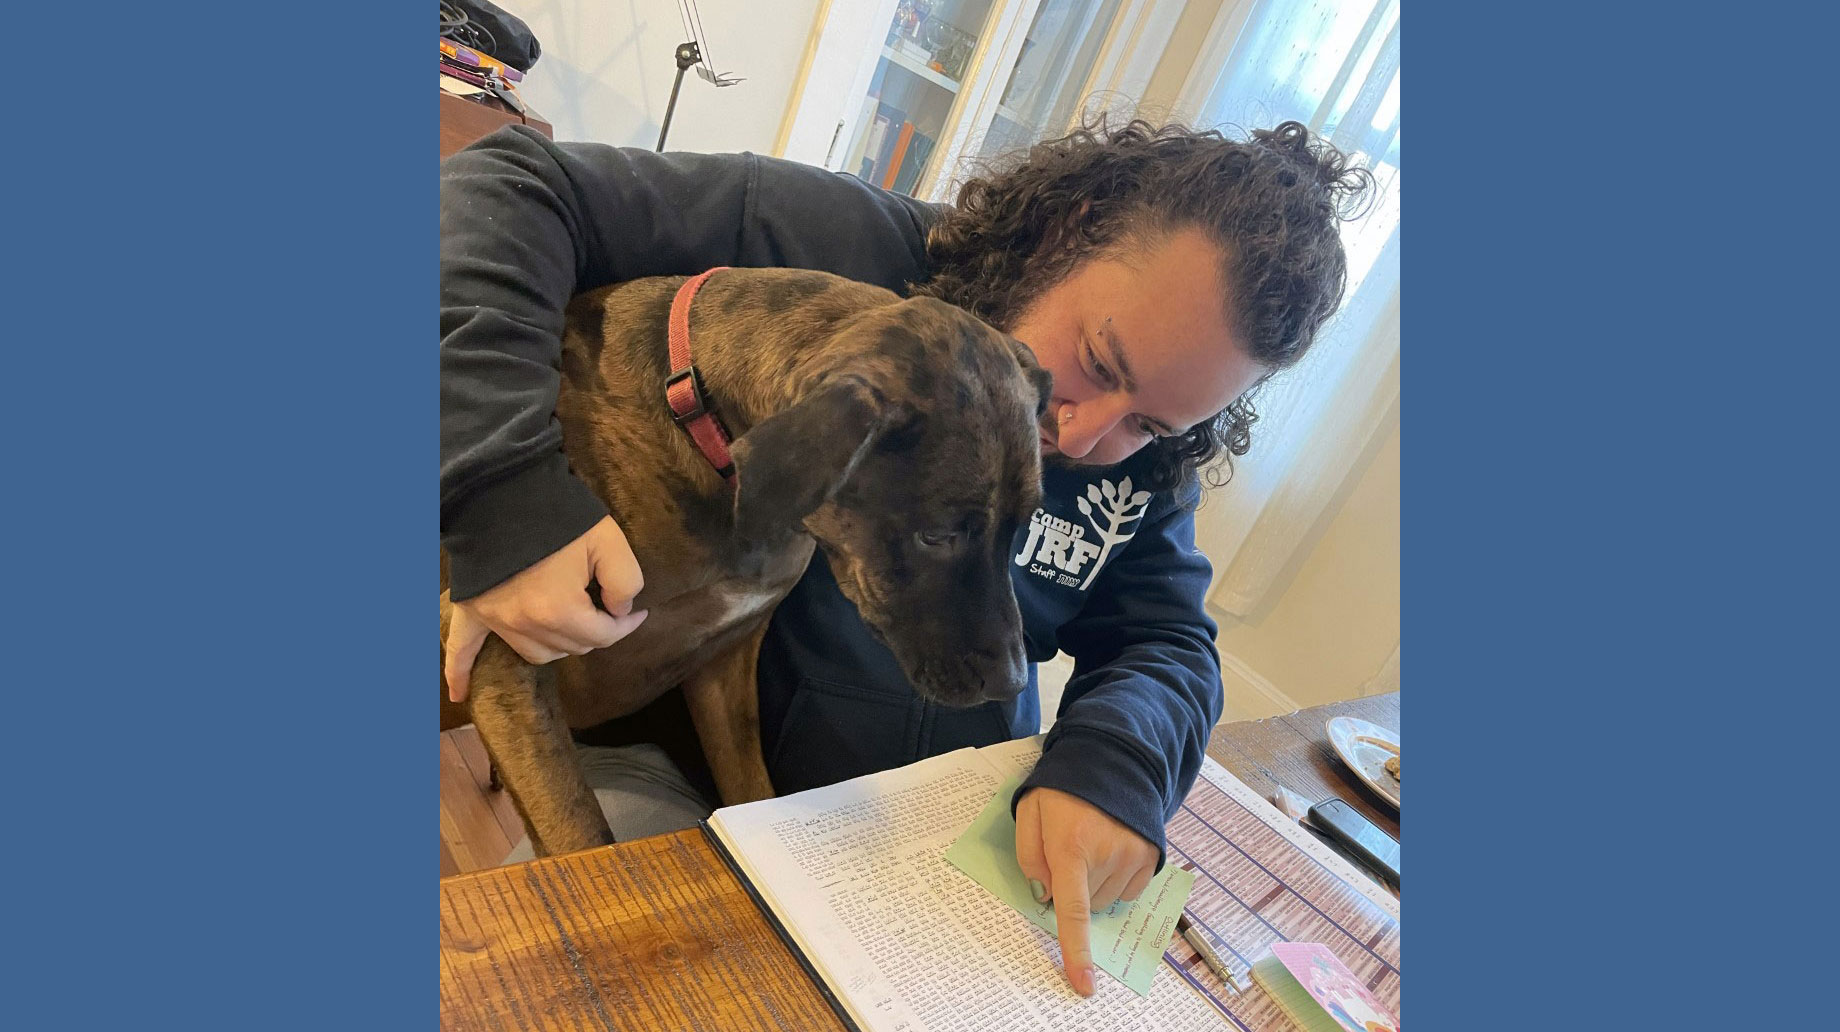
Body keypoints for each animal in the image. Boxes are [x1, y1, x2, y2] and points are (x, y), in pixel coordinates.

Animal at [439, 264, 1059, 853]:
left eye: (1021, 528)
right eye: (937, 536)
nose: (1011, 682)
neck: (701, 427)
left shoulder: (724, 668)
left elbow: (749, 790)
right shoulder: (508, 663)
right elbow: (580, 832)